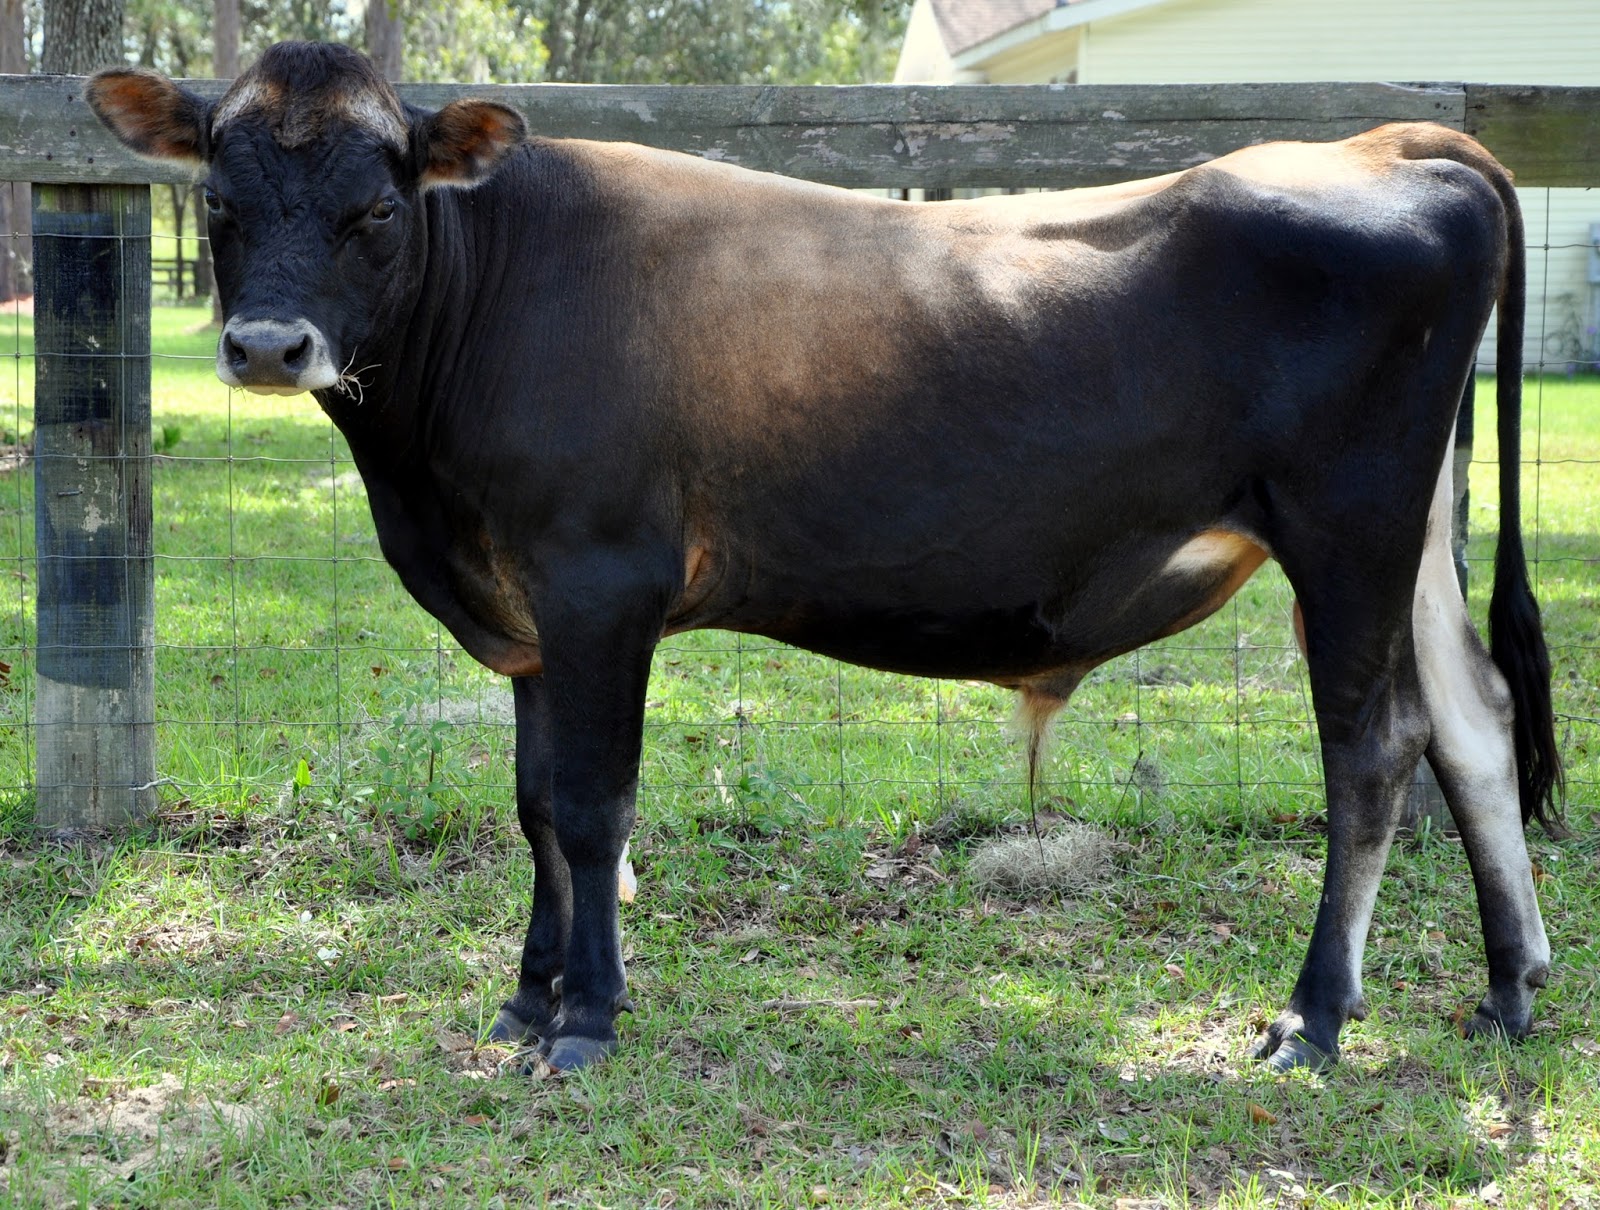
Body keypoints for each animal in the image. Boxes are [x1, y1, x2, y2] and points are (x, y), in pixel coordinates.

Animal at [88, 41, 1561, 1076]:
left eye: (377, 210)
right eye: (218, 200)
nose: (266, 345)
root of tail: (1388, 142)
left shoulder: (599, 577)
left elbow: (593, 805)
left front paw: (589, 1017)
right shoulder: (527, 608)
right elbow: (532, 804)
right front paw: (524, 999)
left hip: (1346, 523)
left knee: (1374, 751)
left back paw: (1314, 1019)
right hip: (1411, 534)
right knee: (1475, 721)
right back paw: (1507, 987)